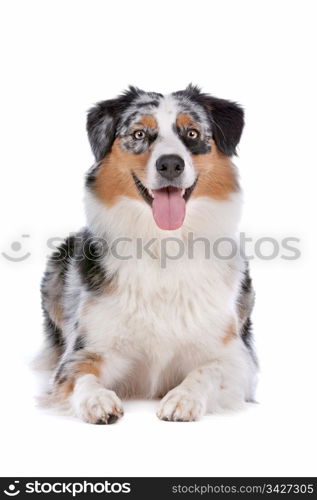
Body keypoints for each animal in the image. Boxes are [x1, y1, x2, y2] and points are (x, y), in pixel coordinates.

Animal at [39, 85, 256, 422]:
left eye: (192, 133)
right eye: (140, 133)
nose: (170, 164)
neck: (163, 245)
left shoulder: (236, 359)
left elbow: (207, 372)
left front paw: (182, 399)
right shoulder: (86, 350)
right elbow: (81, 377)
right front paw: (98, 400)